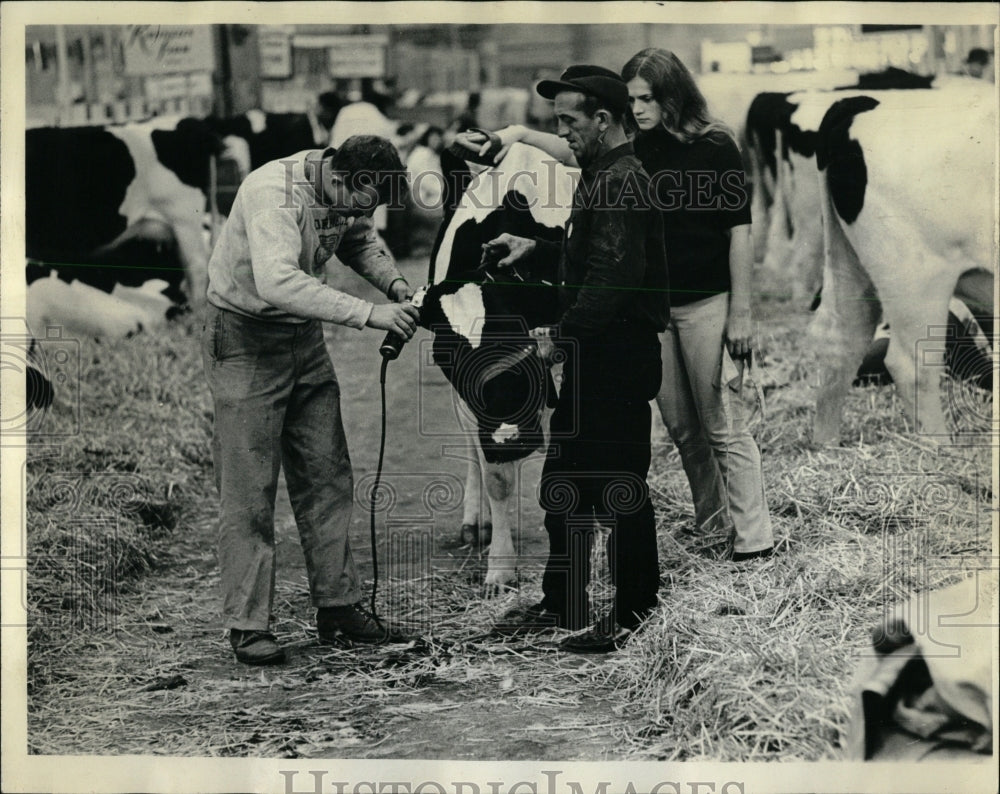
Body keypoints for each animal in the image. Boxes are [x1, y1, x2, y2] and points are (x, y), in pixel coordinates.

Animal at [416, 142, 580, 592]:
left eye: (517, 328)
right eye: (445, 354)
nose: (511, 439)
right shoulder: (476, 407)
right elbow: (498, 479)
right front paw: (501, 568)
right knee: (475, 452)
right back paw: (477, 521)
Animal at [816, 85, 996, 446]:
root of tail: (863, 105)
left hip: (847, 263)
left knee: (840, 339)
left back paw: (825, 446)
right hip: (916, 278)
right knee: (911, 366)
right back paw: (940, 450)